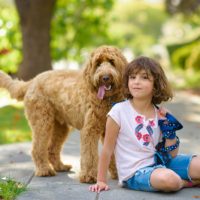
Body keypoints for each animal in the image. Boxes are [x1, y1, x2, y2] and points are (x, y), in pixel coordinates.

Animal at [0, 45, 127, 183]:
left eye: (112, 62)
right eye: (97, 64)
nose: (105, 77)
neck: (108, 100)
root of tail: (32, 80)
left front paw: (119, 173)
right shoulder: (89, 130)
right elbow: (90, 155)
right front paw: (88, 176)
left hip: (60, 127)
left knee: (51, 149)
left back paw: (60, 166)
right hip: (42, 122)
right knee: (37, 149)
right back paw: (44, 170)